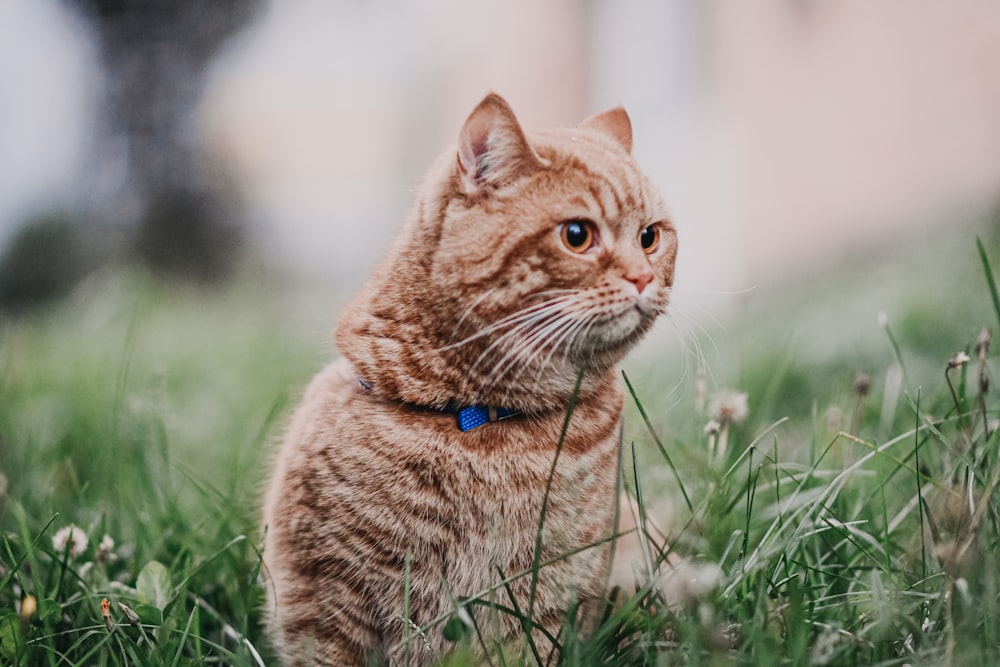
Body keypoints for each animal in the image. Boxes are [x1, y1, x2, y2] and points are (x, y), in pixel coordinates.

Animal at [262, 91, 676, 664]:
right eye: (577, 235)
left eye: (650, 237)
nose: (643, 277)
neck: (484, 421)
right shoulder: (326, 610)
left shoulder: (545, 608)